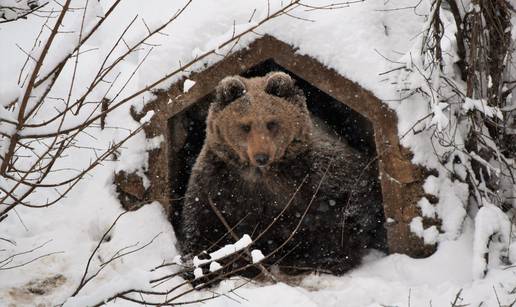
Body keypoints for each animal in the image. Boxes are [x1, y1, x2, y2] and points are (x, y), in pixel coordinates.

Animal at [179, 71, 384, 276]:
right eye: (245, 125)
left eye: (271, 123)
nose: (261, 156)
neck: (262, 174)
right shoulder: (219, 179)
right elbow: (202, 218)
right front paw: (199, 264)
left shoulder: (313, 169)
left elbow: (352, 192)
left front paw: (332, 255)